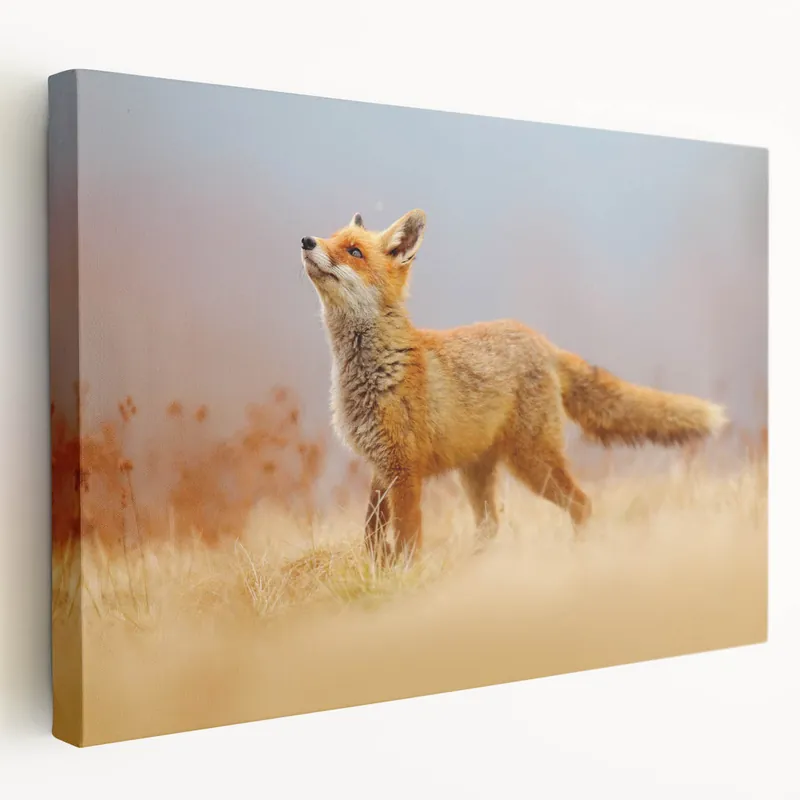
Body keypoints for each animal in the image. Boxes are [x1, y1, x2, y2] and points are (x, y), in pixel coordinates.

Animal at [301, 209, 728, 564]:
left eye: (354, 251)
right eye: (331, 236)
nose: (306, 240)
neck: (373, 372)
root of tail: (540, 339)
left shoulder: (405, 469)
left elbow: (407, 538)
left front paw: (406, 575)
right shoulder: (380, 466)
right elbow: (372, 533)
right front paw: (377, 570)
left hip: (532, 462)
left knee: (582, 504)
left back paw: (579, 556)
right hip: (478, 474)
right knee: (491, 526)